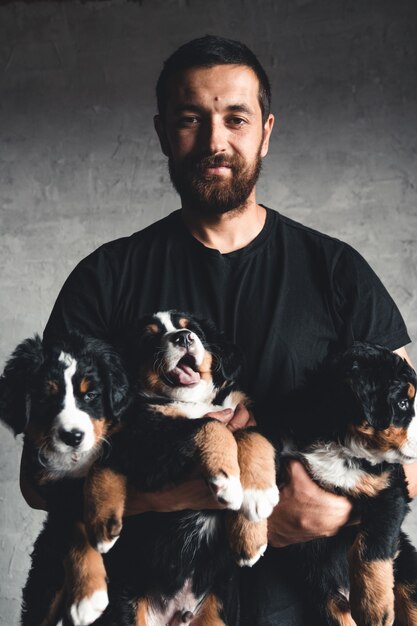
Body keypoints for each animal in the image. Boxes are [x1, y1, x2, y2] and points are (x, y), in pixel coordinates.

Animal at [0, 334, 130, 624]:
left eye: (90, 395)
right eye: (46, 398)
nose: (73, 436)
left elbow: (104, 462)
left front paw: (103, 521)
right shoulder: (51, 490)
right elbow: (74, 531)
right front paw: (88, 596)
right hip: (45, 584)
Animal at [76, 310, 278, 624]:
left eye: (190, 328)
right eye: (149, 336)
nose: (182, 338)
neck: (190, 401)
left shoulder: (242, 412)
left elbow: (249, 434)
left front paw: (255, 509)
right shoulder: (150, 447)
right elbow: (209, 425)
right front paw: (227, 479)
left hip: (216, 612)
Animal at [280, 342, 416, 624]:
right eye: (402, 403)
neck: (341, 444)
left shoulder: (389, 491)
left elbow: (370, 547)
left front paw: (374, 608)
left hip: (407, 566)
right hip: (323, 595)